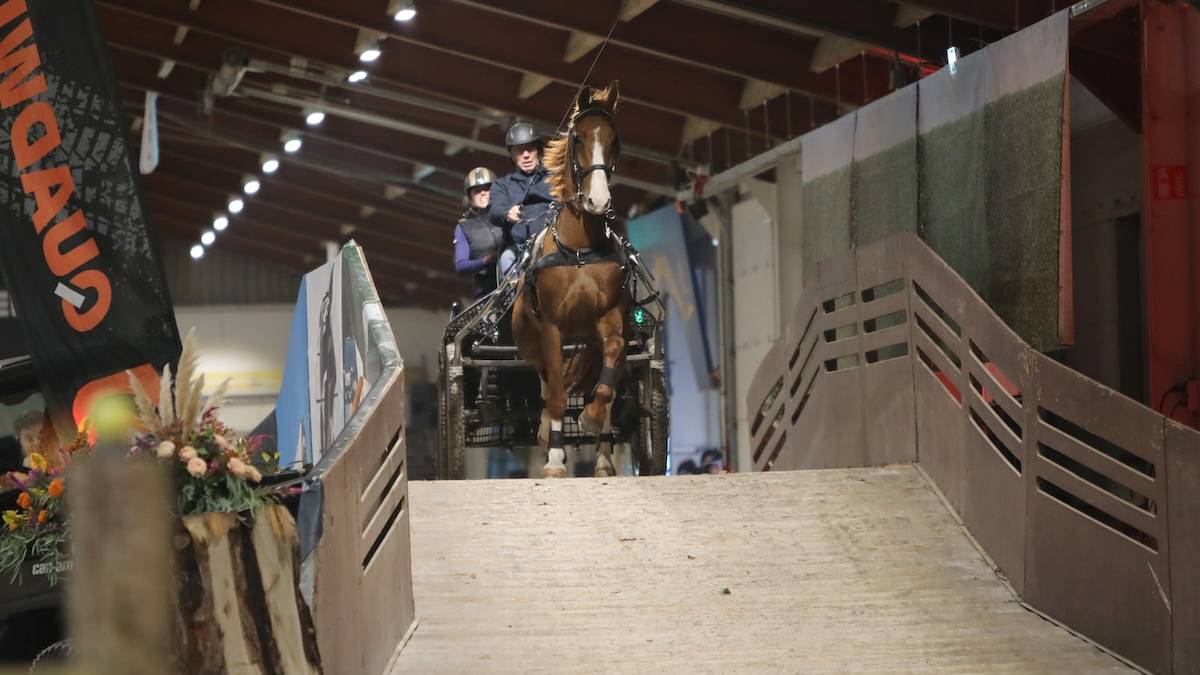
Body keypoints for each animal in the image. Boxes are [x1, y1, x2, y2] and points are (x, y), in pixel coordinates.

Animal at [513, 81, 628, 475]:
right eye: (578, 137)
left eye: (614, 139)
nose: (598, 201)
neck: (579, 250)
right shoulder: (552, 329)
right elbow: (559, 397)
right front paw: (554, 459)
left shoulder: (610, 318)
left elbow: (609, 376)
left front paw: (592, 418)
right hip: (532, 344)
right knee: (549, 387)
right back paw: (547, 436)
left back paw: (604, 456)